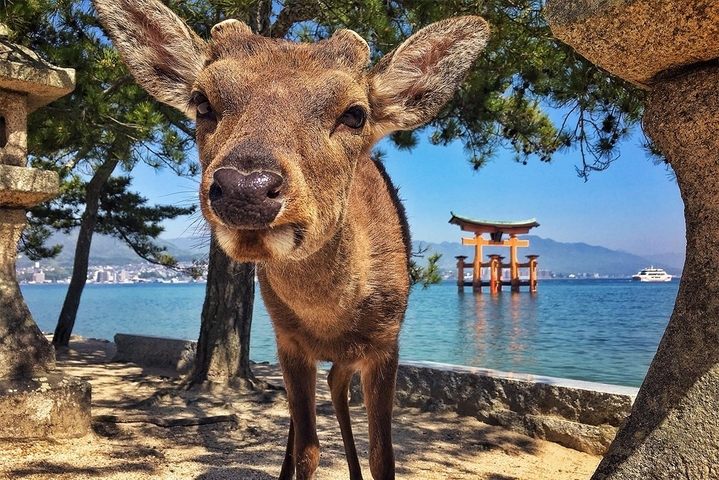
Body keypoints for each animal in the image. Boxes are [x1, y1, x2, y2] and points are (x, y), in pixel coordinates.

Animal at [92, 1, 488, 478]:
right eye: (202, 101)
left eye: (355, 113)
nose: (246, 187)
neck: (329, 318)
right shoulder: (288, 342)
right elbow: (306, 448)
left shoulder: (386, 342)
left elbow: (384, 458)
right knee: (306, 419)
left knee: (336, 388)